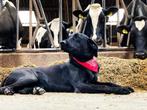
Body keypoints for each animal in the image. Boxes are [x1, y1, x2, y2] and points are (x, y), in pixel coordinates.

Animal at [0, 32, 134, 94]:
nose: (62, 42)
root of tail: (8, 74)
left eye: (76, 38)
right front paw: (122, 90)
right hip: (30, 77)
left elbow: (109, 83)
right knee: (4, 88)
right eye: (69, 36)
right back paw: (8, 91)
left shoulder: (93, 81)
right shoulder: (80, 85)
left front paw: (124, 86)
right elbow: (104, 87)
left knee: (21, 89)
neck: (82, 63)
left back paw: (37, 90)